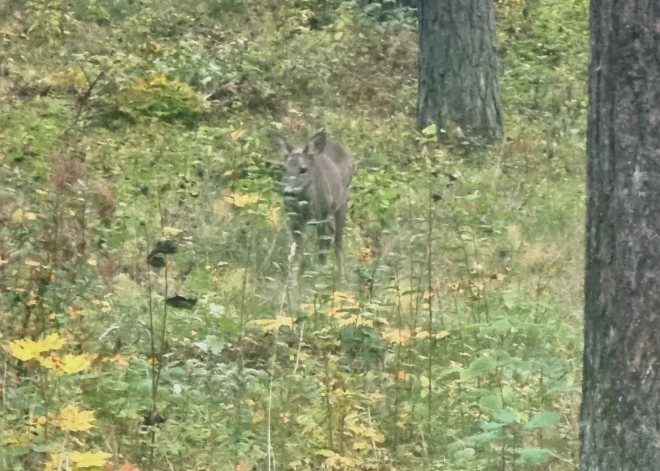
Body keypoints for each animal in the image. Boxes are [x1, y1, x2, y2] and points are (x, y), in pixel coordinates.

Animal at [266, 130, 354, 284]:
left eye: (303, 169)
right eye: (284, 168)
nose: (288, 192)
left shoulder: (322, 215)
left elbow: (322, 249)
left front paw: (319, 276)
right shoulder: (294, 218)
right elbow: (297, 252)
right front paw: (292, 283)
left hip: (342, 202)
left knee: (338, 241)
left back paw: (341, 279)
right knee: (331, 234)